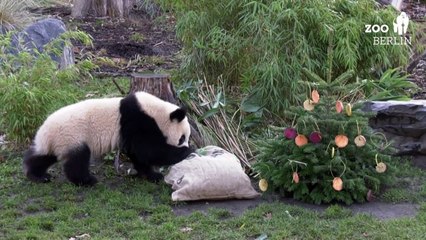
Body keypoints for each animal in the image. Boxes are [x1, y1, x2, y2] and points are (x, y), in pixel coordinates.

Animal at [21, 91, 191, 187]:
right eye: (182, 138)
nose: (185, 144)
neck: (156, 112)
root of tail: (45, 132)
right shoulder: (138, 120)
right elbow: (146, 150)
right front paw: (185, 152)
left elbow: (138, 154)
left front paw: (151, 175)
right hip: (72, 136)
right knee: (77, 159)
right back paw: (86, 181)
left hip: (57, 142)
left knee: (43, 156)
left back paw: (37, 175)